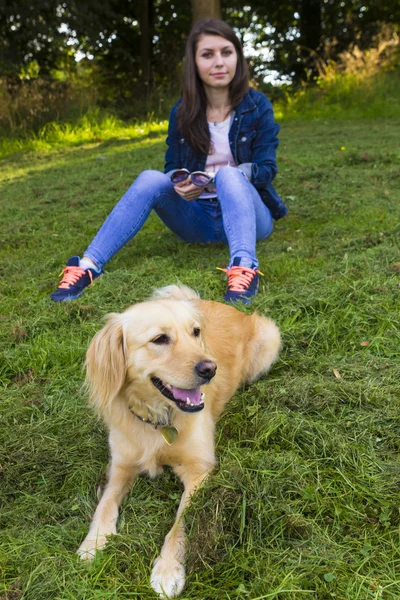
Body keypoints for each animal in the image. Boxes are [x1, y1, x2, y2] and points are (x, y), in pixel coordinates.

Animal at [76, 284, 280, 596]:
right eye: (159, 339)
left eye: (195, 332)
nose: (211, 369)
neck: (158, 419)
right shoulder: (121, 465)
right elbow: (105, 504)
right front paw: (93, 542)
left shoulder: (199, 470)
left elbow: (181, 523)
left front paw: (168, 569)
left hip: (270, 337)